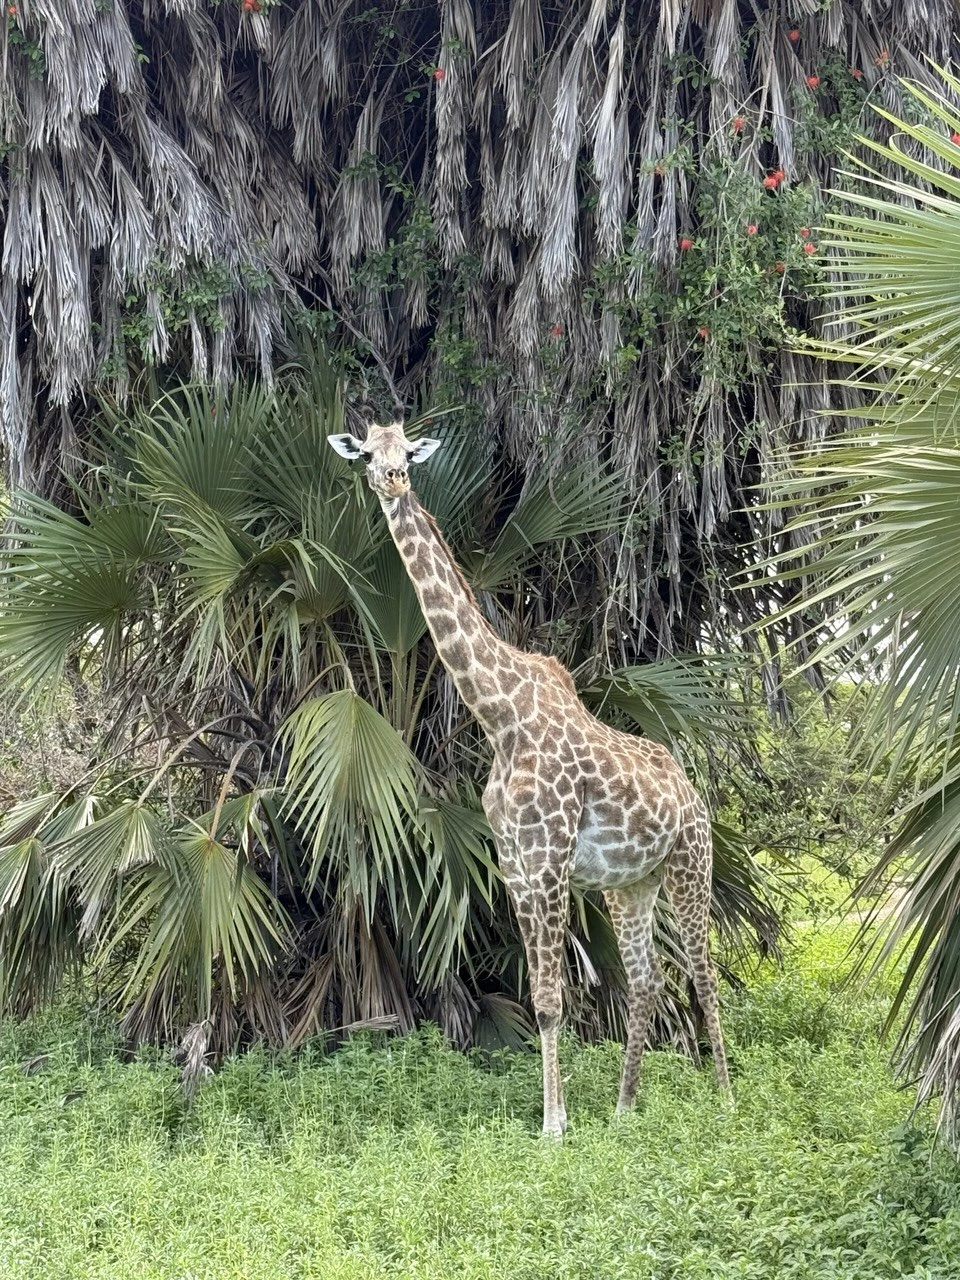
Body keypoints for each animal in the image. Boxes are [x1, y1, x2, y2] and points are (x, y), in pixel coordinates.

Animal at [327, 424, 732, 1136]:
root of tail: (691, 792)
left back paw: (727, 1101)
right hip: (630, 886)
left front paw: (553, 1126)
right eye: (369, 453)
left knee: (704, 973)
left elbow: (550, 999)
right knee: (647, 979)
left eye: (407, 451)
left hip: (691, 862)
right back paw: (626, 1111)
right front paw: (563, 1119)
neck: (500, 716)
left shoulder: (548, 863)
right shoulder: (515, 866)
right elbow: (542, 998)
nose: (394, 481)